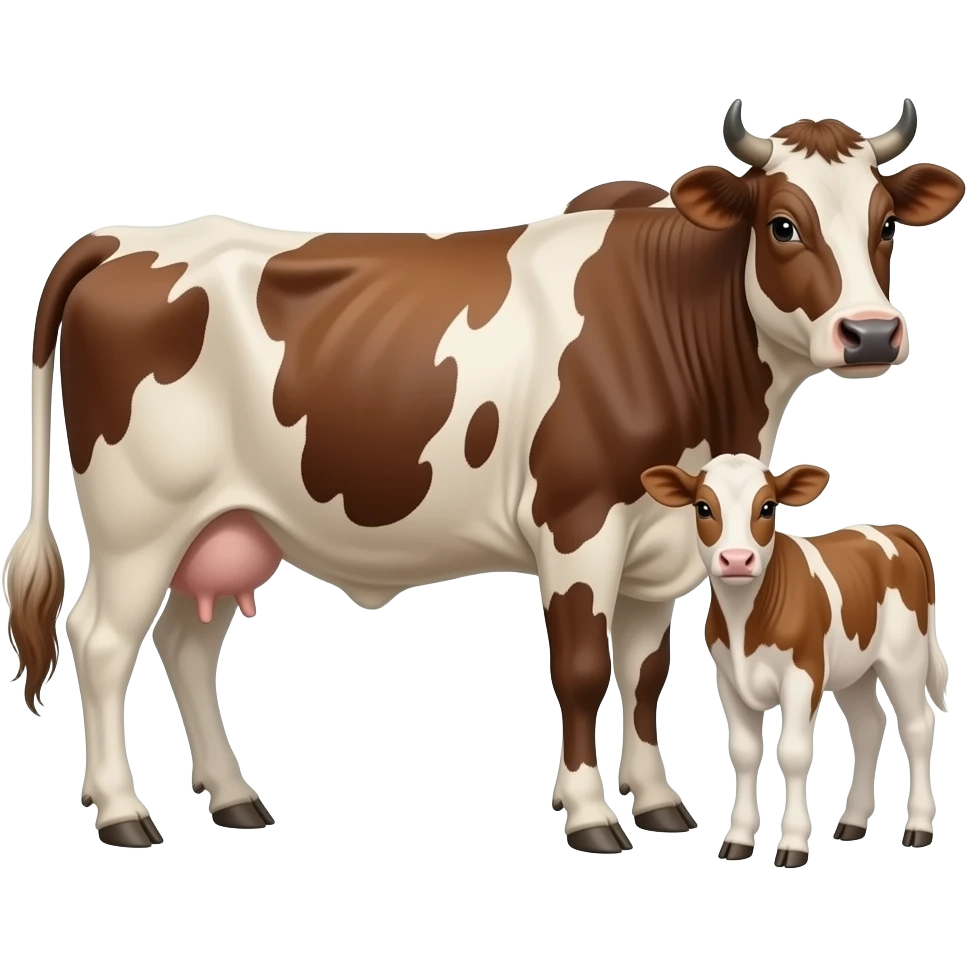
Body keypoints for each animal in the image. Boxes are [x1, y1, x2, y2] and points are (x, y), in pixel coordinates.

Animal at [641, 454, 949, 868]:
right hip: (855, 671)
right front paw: (738, 839)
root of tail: (892, 529)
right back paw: (853, 822)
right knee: (869, 726)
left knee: (918, 726)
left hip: (904, 657)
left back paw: (919, 826)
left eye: (768, 507)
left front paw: (793, 844)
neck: (745, 622)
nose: (736, 560)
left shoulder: (804, 674)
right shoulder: (729, 681)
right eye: (703, 507)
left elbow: (794, 753)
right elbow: (744, 754)